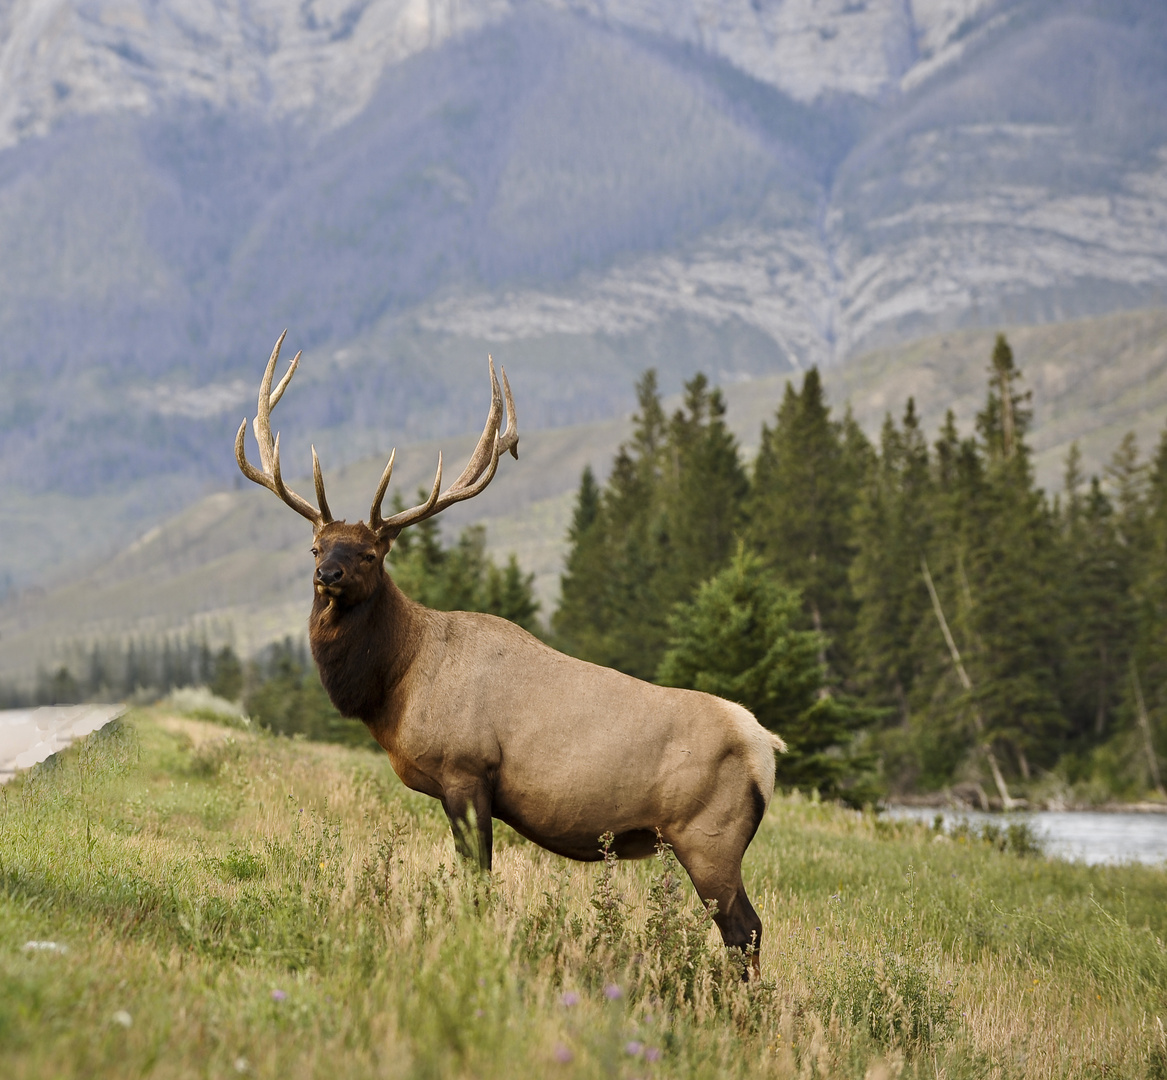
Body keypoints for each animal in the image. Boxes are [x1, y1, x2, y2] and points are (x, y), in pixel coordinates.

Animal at [234, 331, 784, 971]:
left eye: (371, 553)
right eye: (316, 546)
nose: (329, 574)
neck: (396, 686)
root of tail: (766, 749)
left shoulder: (466, 771)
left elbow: (477, 883)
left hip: (709, 837)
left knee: (745, 930)